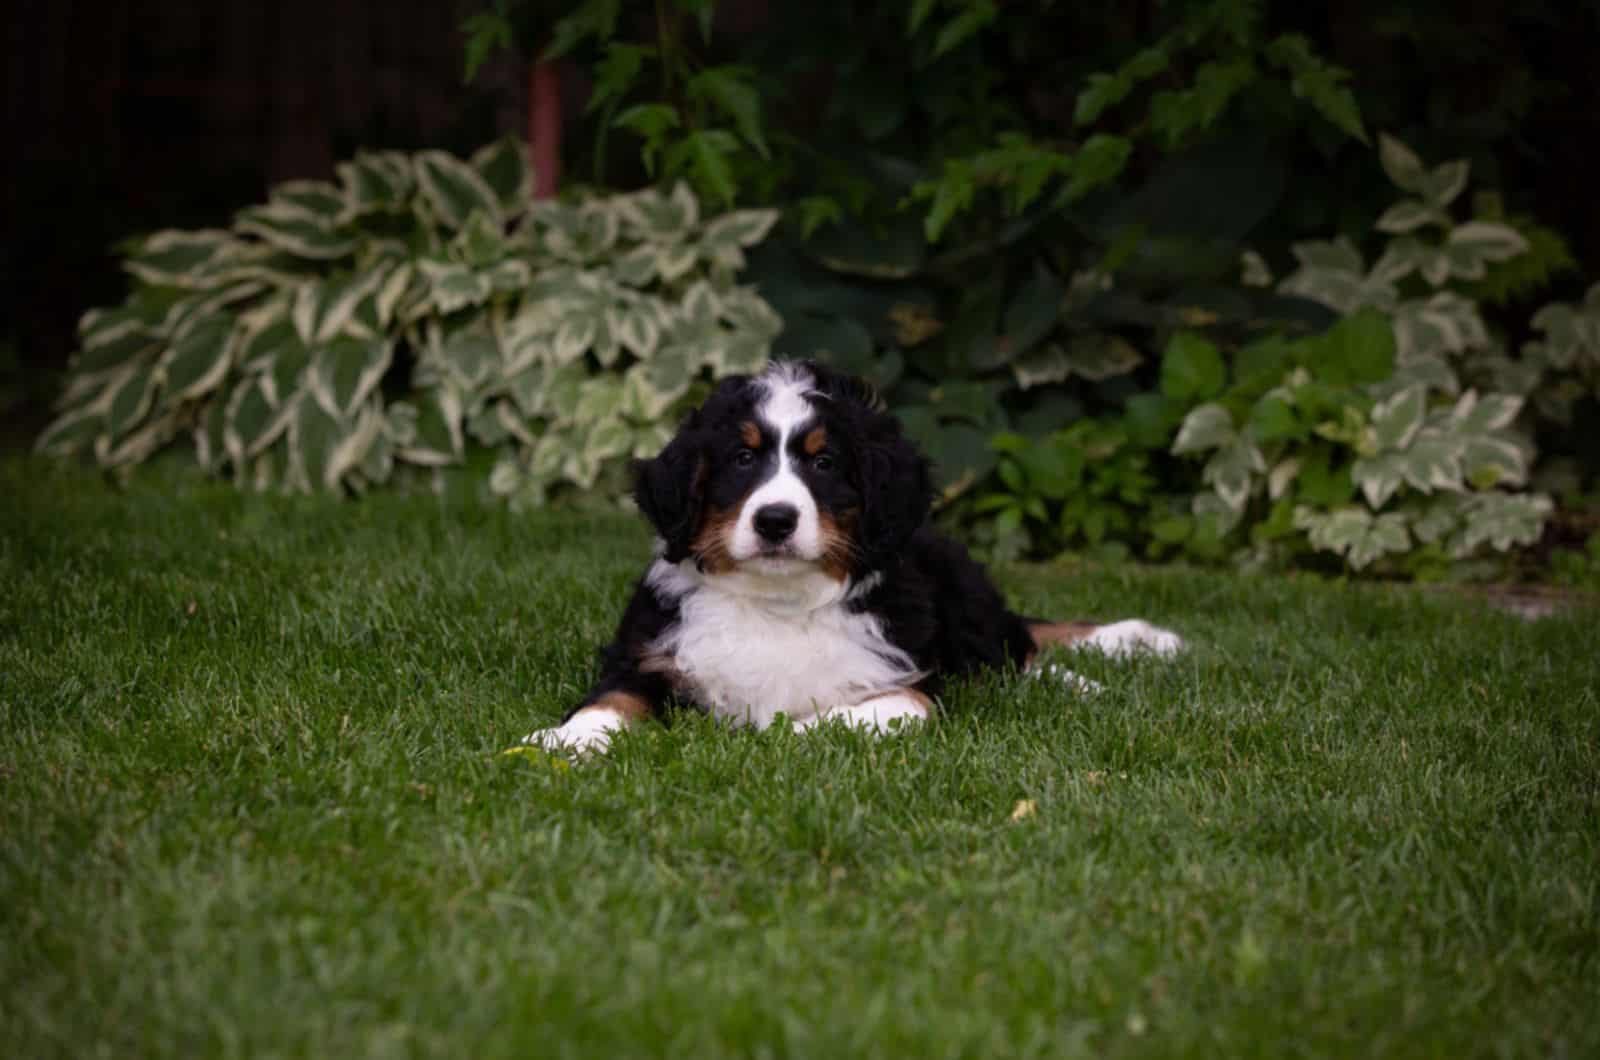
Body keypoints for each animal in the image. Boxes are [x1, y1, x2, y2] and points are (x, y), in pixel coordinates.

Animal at [524, 363, 1177, 755]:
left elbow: (861, 711)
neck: (778, 603)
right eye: (742, 458)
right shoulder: (645, 658)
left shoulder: (909, 684)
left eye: (825, 462)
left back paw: (1088, 677)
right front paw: (561, 742)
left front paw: (783, 734)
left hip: (964, 596)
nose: (775, 520)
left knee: (1016, 648)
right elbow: (609, 702)